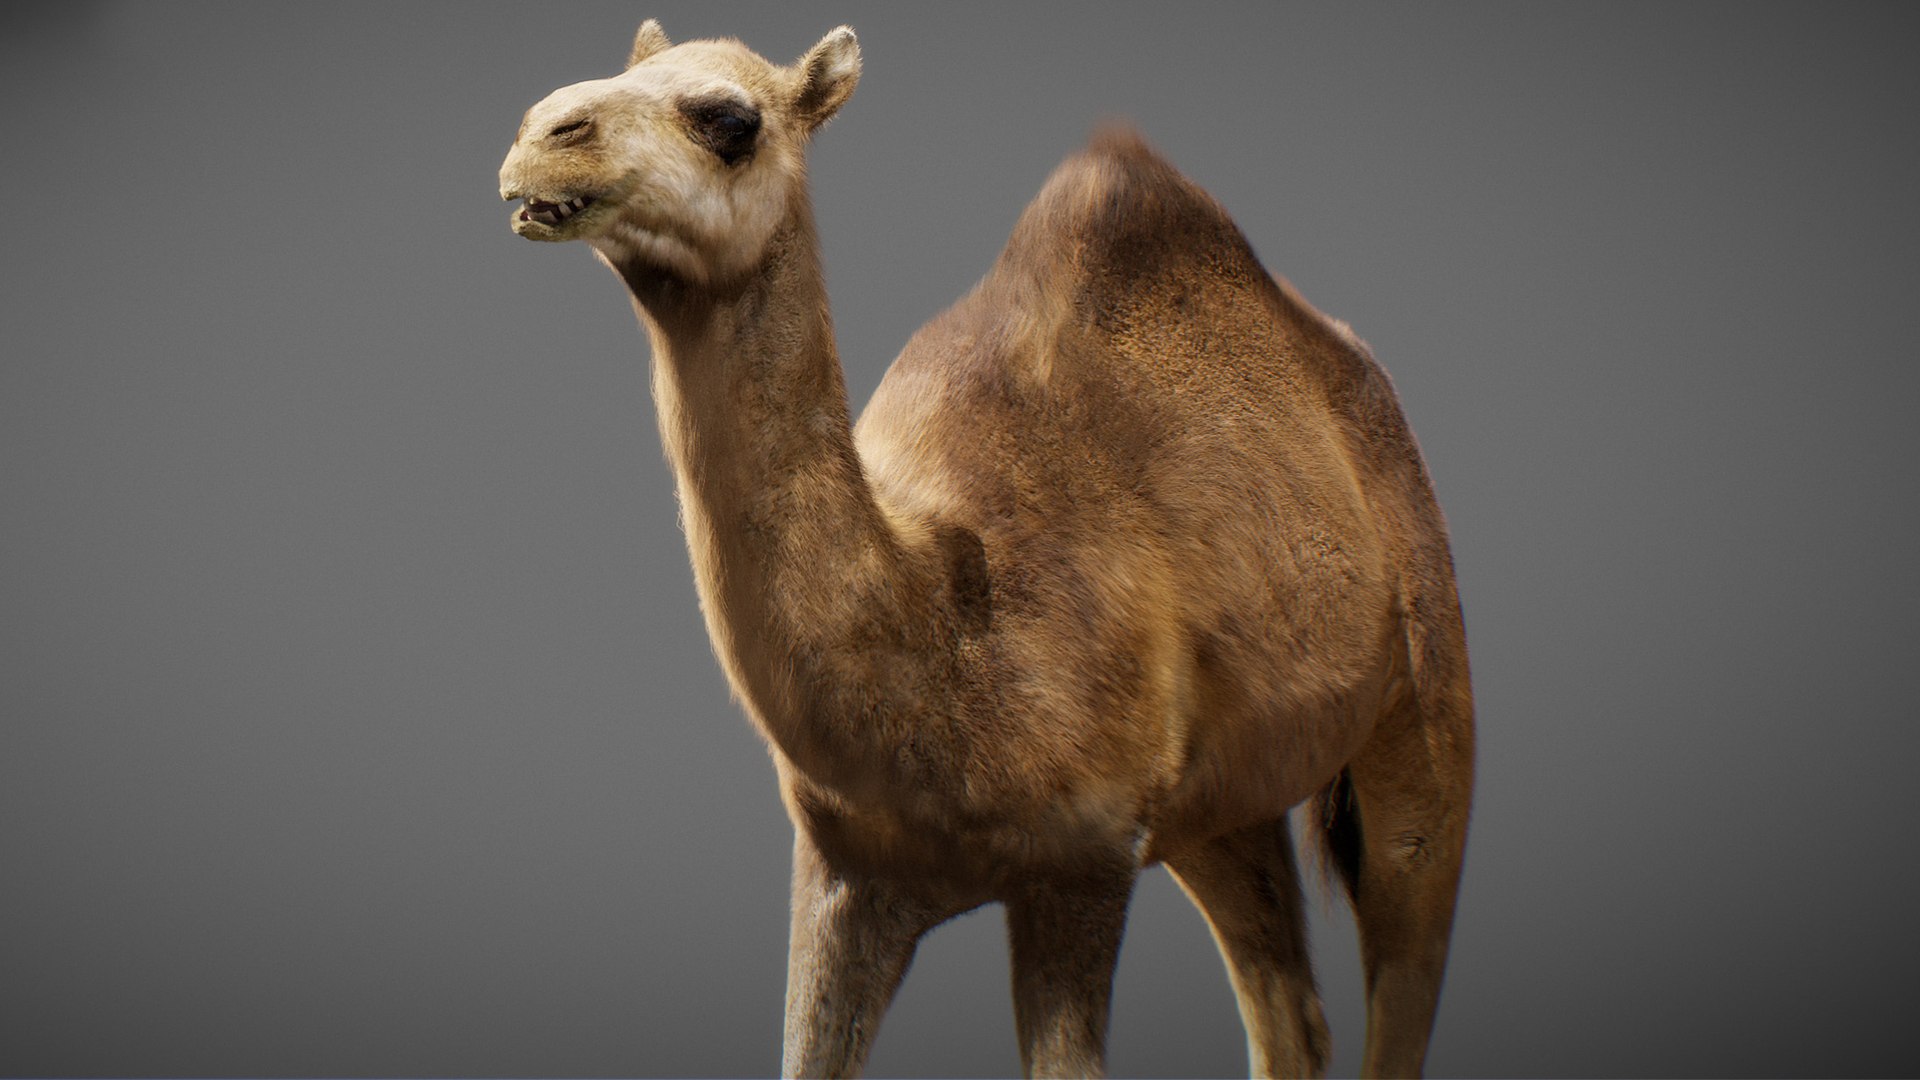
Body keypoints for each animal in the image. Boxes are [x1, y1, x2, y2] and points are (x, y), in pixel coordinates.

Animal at [498, 22, 1473, 1079]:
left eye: (731, 120)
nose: (542, 134)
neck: (945, 623)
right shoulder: (846, 872)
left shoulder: (1084, 861)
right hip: (1221, 804)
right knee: (1290, 1008)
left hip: (1425, 698)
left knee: (1405, 961)